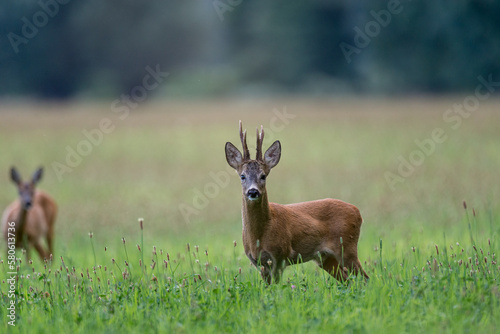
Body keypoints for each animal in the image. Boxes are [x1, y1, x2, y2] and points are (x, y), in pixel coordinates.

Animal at [225, 121, 370, 284]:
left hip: (347, 247)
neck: (259, 235)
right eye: (242, 176)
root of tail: (357, 211)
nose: (253, 192)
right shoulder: (259, 263)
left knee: (365, 279)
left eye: (263, 176)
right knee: (348, 281)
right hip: (326, 258)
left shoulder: (280, 256)